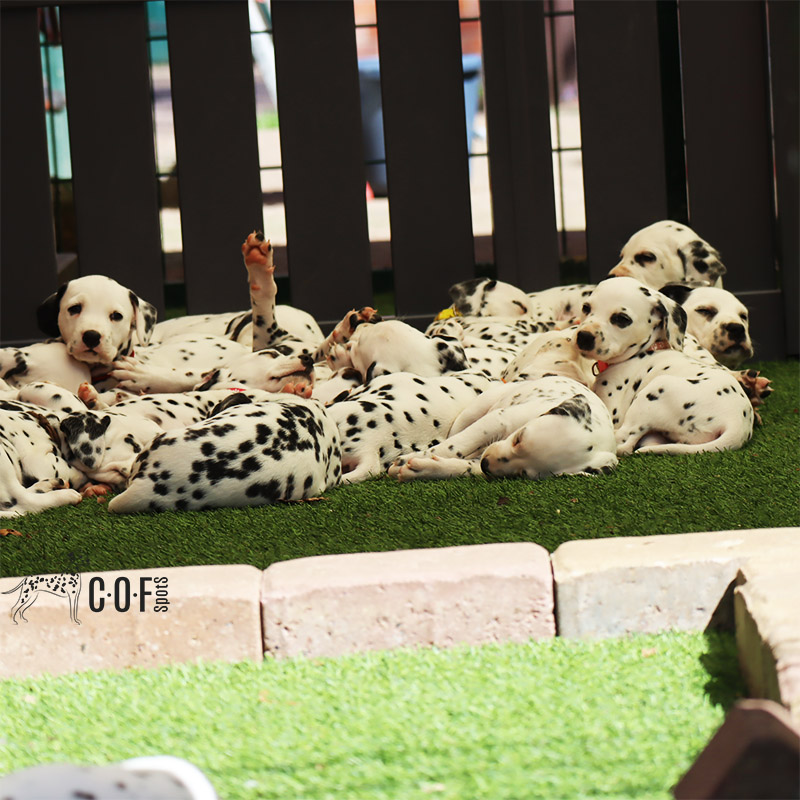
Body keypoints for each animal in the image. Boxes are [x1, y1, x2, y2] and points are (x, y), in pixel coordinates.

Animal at [575, 277, 754, 455]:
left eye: (622, 319)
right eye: (585, 307)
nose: (583, 337)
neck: (648, 349)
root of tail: (737, 424)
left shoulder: (614, 411)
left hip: (654, 392)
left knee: (625, 442)